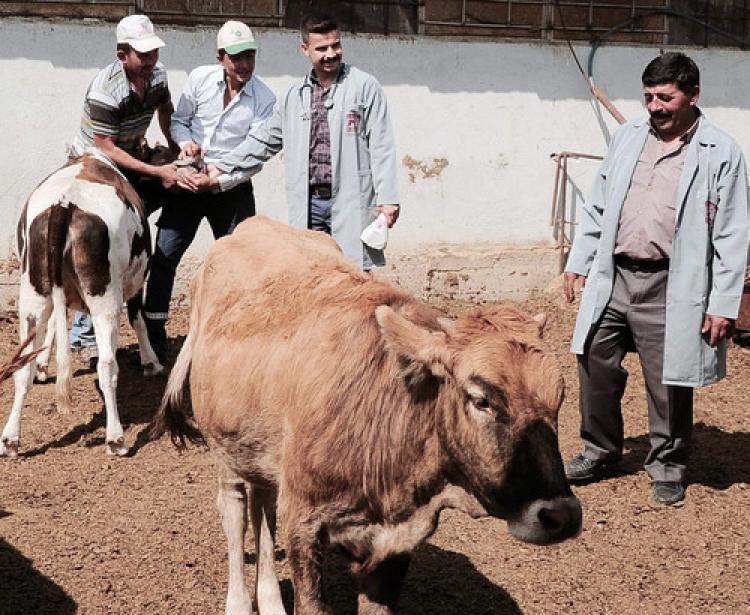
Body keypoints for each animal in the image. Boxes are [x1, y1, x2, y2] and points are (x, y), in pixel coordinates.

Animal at [0, 154, 164, 460]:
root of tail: (64, 203)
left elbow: (54, 324)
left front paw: (43, 365)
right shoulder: (136, 278)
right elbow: (138, 318)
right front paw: (151, 362)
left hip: (32, 295)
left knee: (21, 366)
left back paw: (10, 440)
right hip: (104, 299)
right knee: (107, 365)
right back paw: (116, 439)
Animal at [153, 218, 584, 615]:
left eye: (560, 399)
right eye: (482, 400)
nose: (561, 515)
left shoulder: (396, 544)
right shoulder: (304, 525)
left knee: (262, 504)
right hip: (224, 449)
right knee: (235, 510)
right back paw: (240, 602)